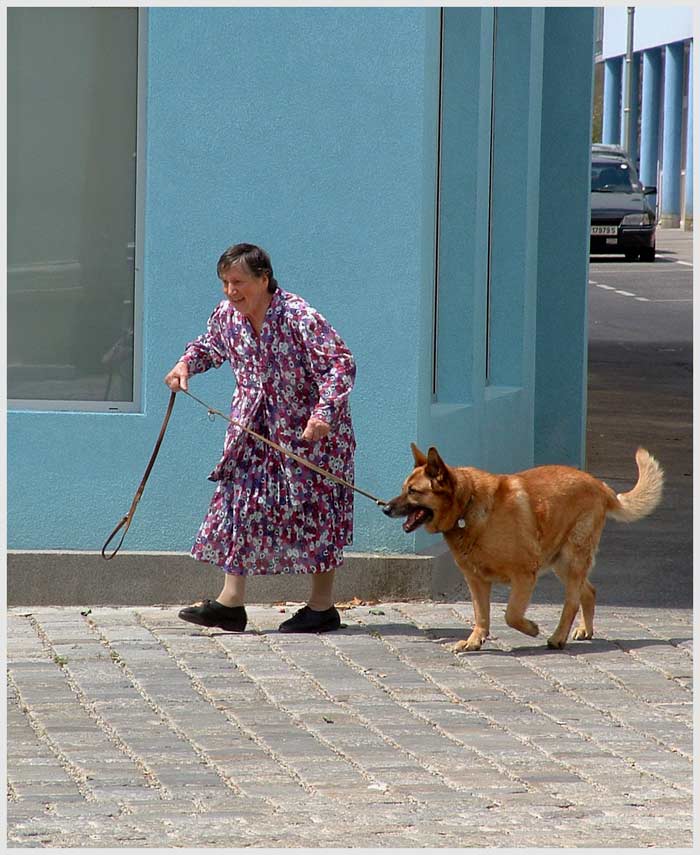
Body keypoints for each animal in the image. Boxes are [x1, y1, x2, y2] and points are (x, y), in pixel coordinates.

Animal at [382, 444, 660, 652]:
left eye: (413, 491)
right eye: (403, 489)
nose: (385, 508)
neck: (467, 507)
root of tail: (600, 485)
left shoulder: (524, 575)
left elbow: (511, 615)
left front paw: (531, 628)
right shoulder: (476, 581)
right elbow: (481, 615)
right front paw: (474, 641)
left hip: (571, 559)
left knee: (571, 602)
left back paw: (558, 637)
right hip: (561, 562)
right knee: (589, 591)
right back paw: (585, 630)